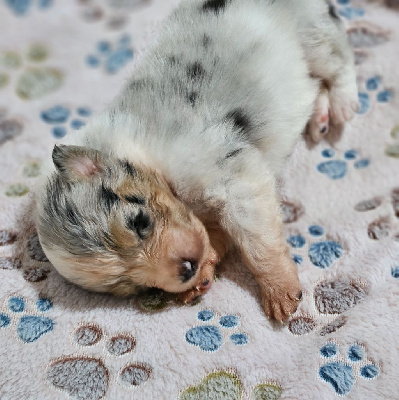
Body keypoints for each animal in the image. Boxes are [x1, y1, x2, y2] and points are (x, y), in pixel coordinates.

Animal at [35, 0, 360, 320]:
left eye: (140, 222)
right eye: (131, 285)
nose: (187, 270)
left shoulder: (237, 180)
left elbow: (258, 242)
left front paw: (279, 292)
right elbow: (213, 237)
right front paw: (202, 275)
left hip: (313, 36)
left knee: (339, 61)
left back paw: (343, 104)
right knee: (316, 84)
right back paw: (319, 119)